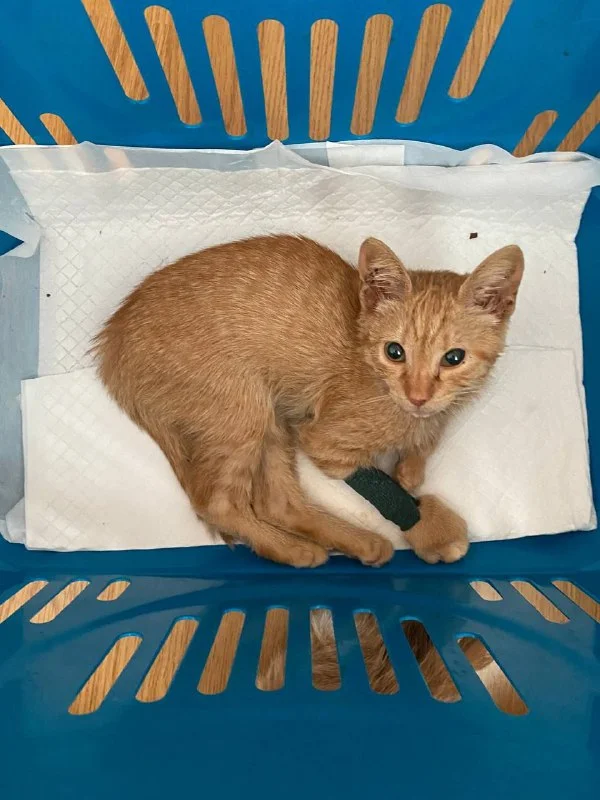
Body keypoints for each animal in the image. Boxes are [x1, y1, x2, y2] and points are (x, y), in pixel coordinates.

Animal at [93, 234, 523, 567]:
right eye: (394, 352)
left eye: (454, 358)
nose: (417, 395)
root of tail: (111, 347)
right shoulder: (321, 440)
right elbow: (377, 480)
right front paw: (426, 524)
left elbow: (423, 446)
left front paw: (412, 466)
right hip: (244, 410)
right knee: (217, 503)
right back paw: (303, 550)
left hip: (272, 417)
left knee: (277, 503)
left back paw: (346, 542)